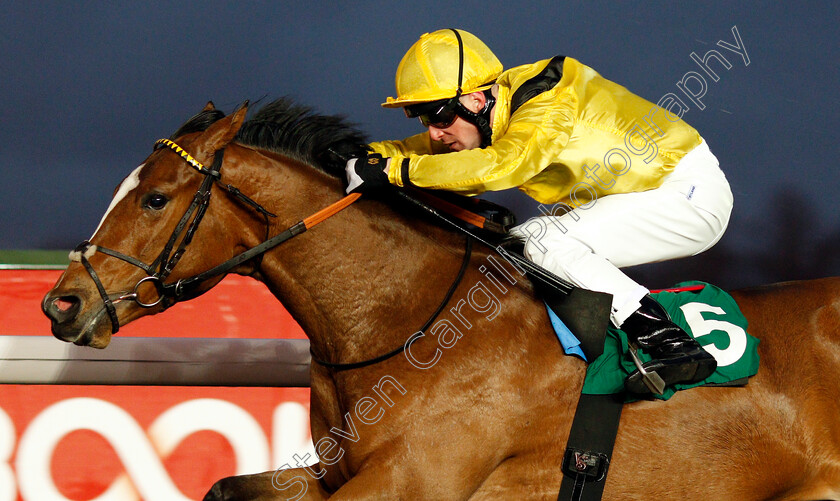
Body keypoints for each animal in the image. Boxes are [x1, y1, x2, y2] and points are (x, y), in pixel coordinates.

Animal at [42, 99, 840, 498]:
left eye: (153, 197)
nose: (62, 304)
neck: (407, 319)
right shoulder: (336, 473)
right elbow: (222, 490)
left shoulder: (416, 481)